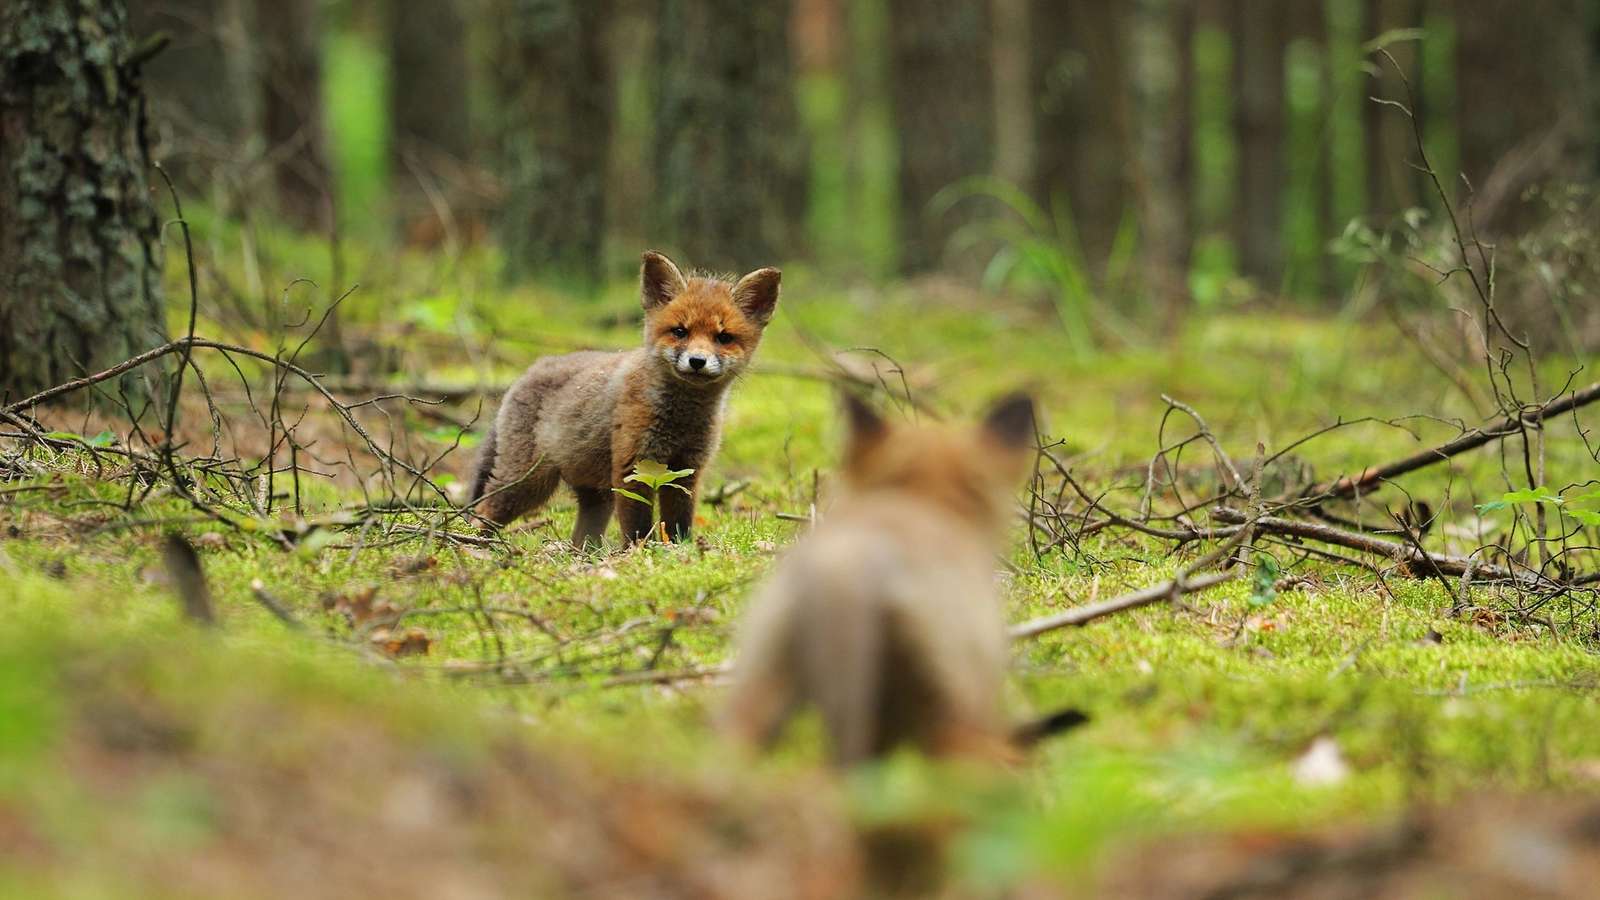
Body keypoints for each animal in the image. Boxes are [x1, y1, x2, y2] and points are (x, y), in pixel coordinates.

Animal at [468, 251, 779, 546]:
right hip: (528, 482)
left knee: (581, 539)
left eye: (723, 337)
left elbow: (678, 523)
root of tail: (530, 370)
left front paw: (681, 551)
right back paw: (476, 545)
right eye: (680, 331)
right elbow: (637, 525)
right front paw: (638, 552)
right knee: (483, 512)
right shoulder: (632, 465)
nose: (697, 361)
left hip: (596, 495)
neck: (682, 418)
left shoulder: (686, 470)